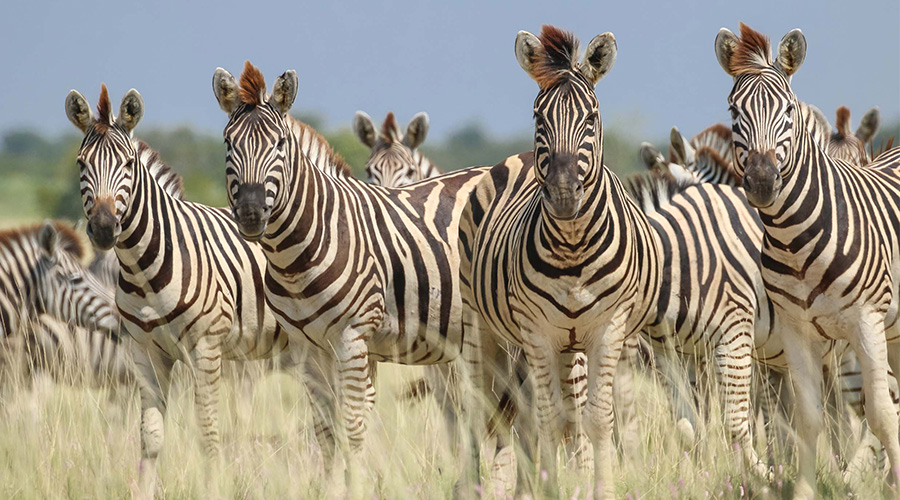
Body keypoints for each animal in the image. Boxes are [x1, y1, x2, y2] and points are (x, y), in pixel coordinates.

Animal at [64, 85, 314, 499]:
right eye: (82, 164)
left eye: (128, 164)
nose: (102, 228)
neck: (144, 268)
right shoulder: (144, 353)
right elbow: (150, 437)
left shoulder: (206, 348)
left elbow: (209, 432)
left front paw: (214, 488)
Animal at [212, 61, 492, 493]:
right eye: (229, 144)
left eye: (280, 145)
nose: (251, 213)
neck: (297, 255)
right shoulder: (307, 349)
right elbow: (325, 431)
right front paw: (330, 489)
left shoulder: (353, 338)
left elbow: (354, 427)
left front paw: (358, 487)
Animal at [459, 26, 660, 497]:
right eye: (539, 119)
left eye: (591, 118)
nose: (565, 194)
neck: (573, 250)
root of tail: (516, 157)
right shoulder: (537, 331)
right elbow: (548, 422)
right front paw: (549, 490)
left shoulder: (608, 328)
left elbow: (597, 421)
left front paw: (599, 489)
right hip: (484, 329)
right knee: (485, 414)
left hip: (566, 346)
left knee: (547, 417)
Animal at [715, 22, 900, 497]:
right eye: (734, 111)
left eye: (787, 111)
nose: (762, 181)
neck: (794, 242)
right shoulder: (797, 331)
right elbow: (810, 420)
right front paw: (804, 490)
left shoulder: (866, 320)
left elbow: (881, 415)